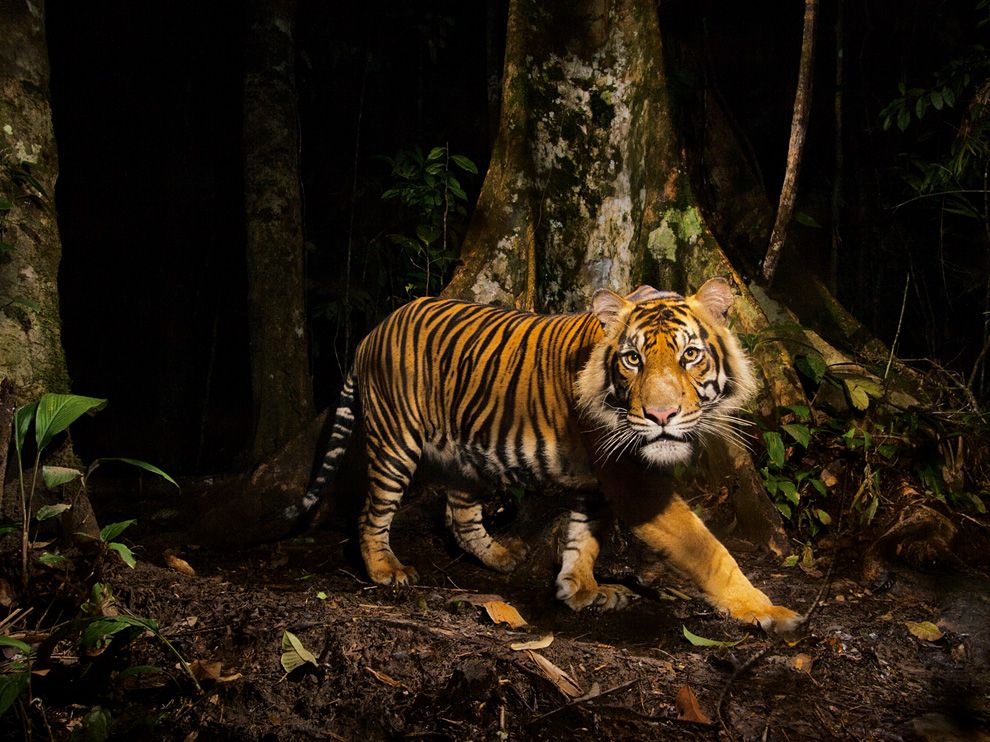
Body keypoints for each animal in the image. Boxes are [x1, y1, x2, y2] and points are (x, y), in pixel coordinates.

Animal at [298, 280, 804, 632]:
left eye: (691, 355)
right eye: (633, 360)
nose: (661, 415)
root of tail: (372, 332)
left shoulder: (599, 482)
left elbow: (584, 540)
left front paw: (580, 591)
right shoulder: (633, 482)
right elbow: (708, 550)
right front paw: (766, 610)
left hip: (465, 455)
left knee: (460, 517)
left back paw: (503, 557)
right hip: (395, 441)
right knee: (371, 513)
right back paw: (386, 569)